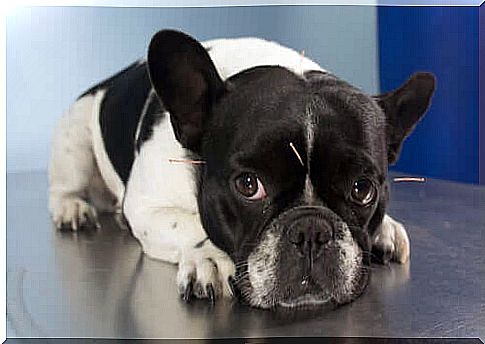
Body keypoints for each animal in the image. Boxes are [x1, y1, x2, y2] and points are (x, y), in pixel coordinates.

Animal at [49, 29, 434, 310]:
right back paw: (72, 209)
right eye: (248, 185)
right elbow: (190, 225)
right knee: (64, 186)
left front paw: (385, 228)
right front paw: (208, 259)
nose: (311, 230)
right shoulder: (145, 207)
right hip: (74, 144)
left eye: (362, 189)